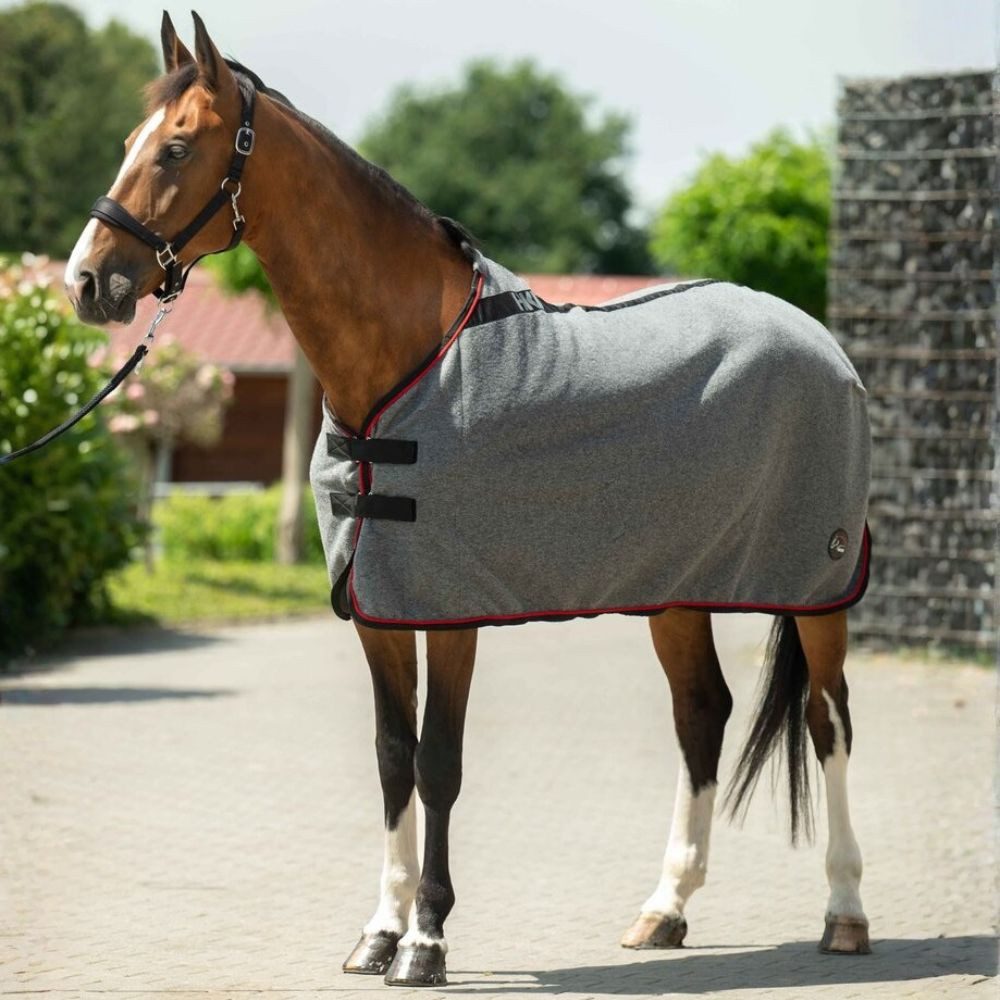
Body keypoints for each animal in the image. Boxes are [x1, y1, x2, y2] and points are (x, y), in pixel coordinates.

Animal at [63, 12, 872, 987]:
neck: (401, 362)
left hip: (817, 587)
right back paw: (664, 909)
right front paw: (378, 931)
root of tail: (818, 340)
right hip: (678, 586)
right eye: (128, 143)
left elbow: (438, 762)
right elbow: (390, 760)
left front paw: (426, 941)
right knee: (700, 715)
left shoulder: (450, 610)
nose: (86, 282)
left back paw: (844, 913)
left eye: (177, 147)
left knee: (829, 721)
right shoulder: (380, 608)